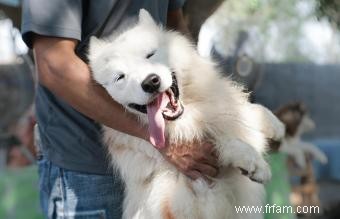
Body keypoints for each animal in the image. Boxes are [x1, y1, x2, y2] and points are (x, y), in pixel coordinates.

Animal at [88, 9, 284, 219]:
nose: (150, 82)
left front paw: (275, 126)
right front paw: (254, 162)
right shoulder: (191, 196)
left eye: (150, 54)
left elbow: (245, 111)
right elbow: (221, 142)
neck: (189, 117)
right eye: (120, 77)